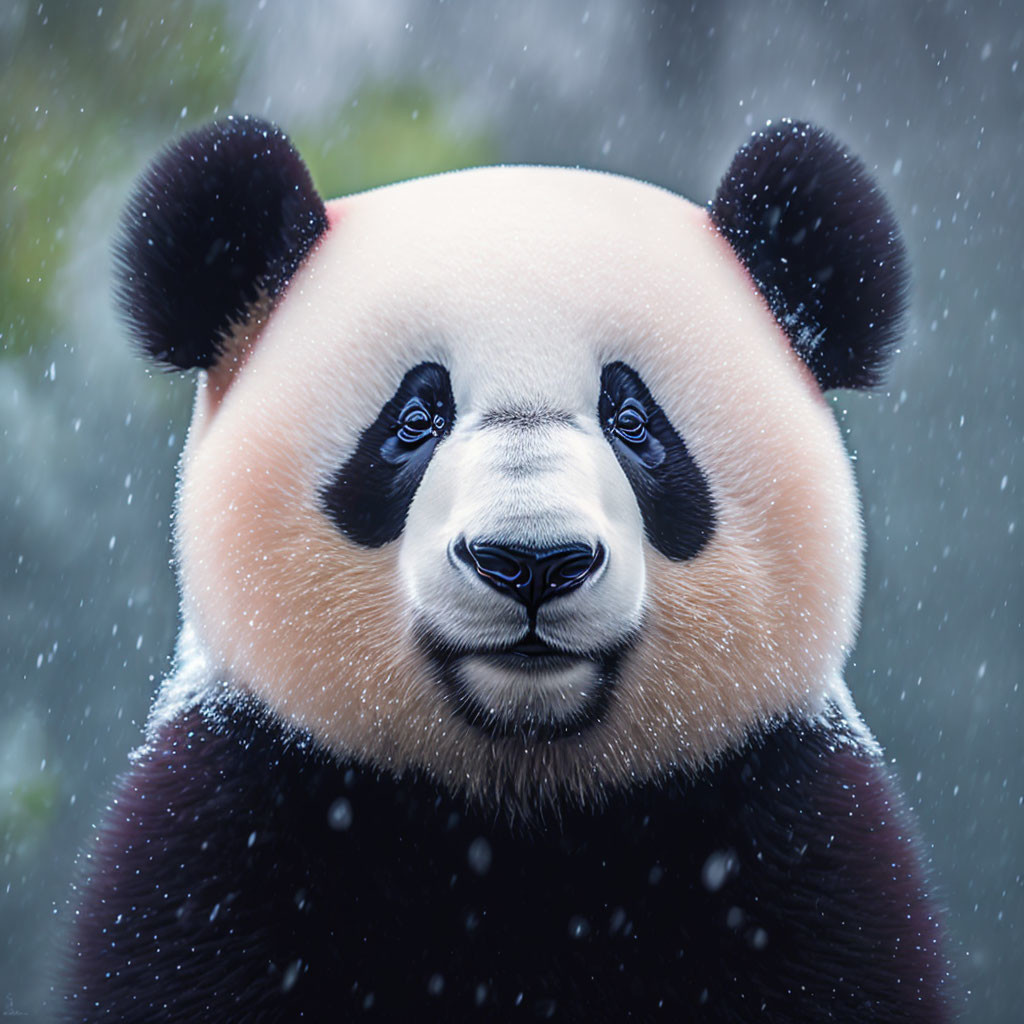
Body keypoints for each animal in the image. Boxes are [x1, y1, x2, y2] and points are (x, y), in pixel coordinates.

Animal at [64, 116, 946, 1019]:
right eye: (415, 420)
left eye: (633, 421)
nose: (531, 563)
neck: (517, 801)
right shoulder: (234, 813)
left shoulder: (787, 823)